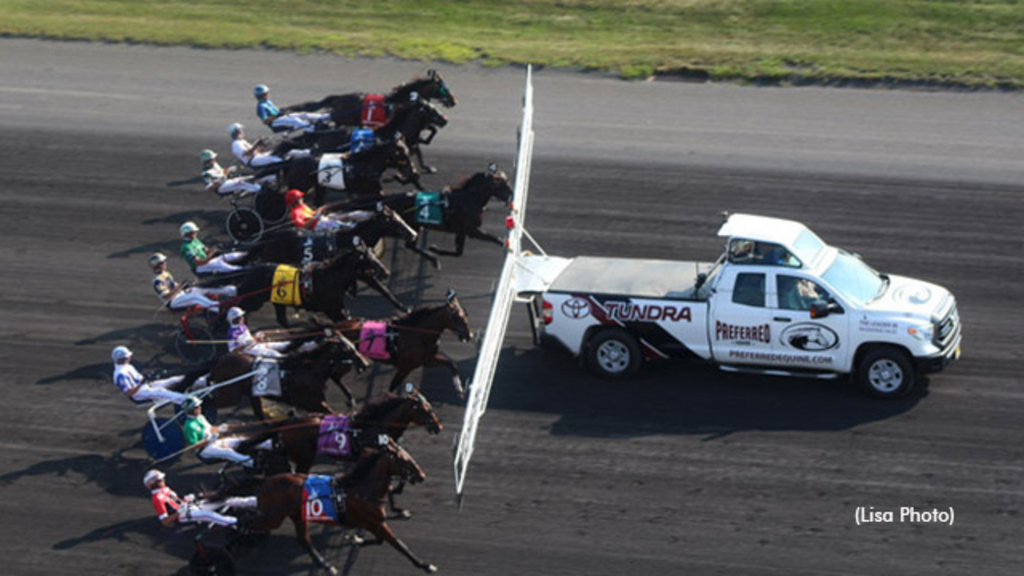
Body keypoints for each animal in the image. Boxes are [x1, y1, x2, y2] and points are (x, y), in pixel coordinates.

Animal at [234, 436, 434, 569]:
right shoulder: (375, 522)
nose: (422, 475)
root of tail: (266, 481)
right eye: (404, 459)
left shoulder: (373, 523)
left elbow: (378, 541)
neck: (362, 490)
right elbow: (398, 544)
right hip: (273, 517)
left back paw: (325, 565)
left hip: (296, 516)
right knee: (246, 523)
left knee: (304, 540)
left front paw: (356, 539)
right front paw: (425, 565)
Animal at [331, 289, 471, 397]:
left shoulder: (426, 359)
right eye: (456, 317)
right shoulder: (405, 367)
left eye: (465, 315)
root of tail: (334, 328)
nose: (469, 335)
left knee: (335, 376)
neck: (418, 335)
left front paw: (459, 389)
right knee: (335, 376)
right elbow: (392, 387)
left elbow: (451, 364)